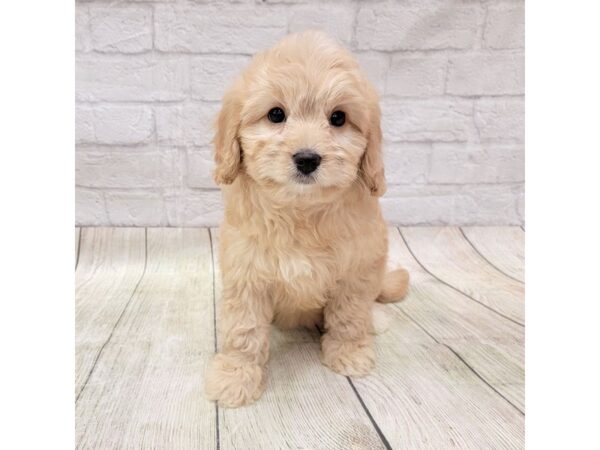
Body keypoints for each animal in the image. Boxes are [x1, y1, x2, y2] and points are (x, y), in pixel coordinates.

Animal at [205, 29, 408, 406]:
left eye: (339, 118)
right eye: (275, 114)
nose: (307, 159)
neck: (301, 212)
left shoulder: (357, 268)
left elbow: (349, 315)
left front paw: (349, 352)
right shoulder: (247, 272)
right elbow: (243, 329)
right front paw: (235, 376)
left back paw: (375, 319)